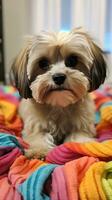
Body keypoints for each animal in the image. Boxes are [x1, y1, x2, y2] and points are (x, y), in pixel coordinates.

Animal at [10, 28, 106, 159]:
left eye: (72, 60)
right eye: (43, 63)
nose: (59, 77)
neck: (59, 106)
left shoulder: (83, 126)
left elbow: (78, 136)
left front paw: (79, 147)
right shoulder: (35, 127)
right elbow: (39, 137)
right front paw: (38, 150)